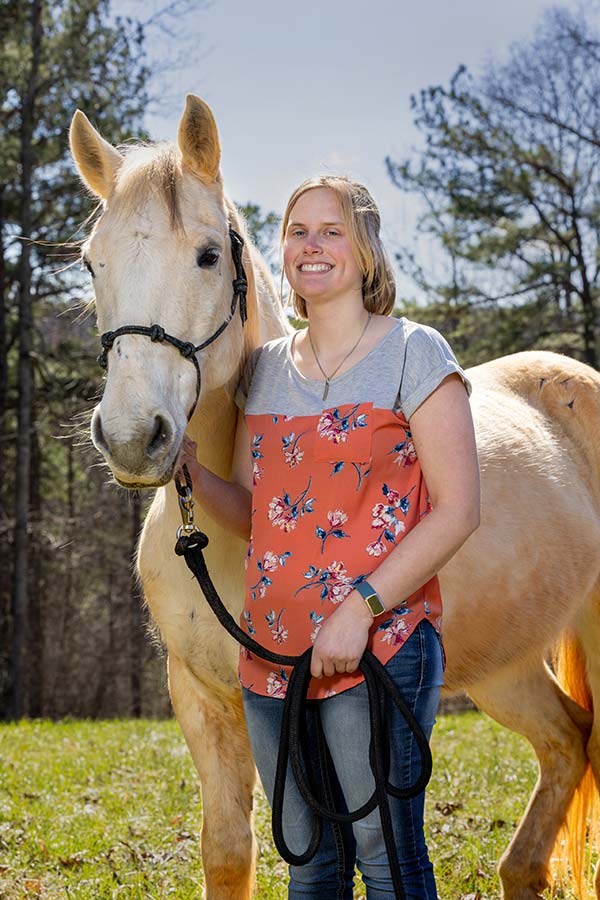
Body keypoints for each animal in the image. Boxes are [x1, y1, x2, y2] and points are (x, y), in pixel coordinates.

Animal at [69, 93, 600, 900]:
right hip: (503, 667)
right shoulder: (201, 697)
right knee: (567, 742)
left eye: (207, 255)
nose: (134, 436)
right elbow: (228, 852)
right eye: (91, 262)